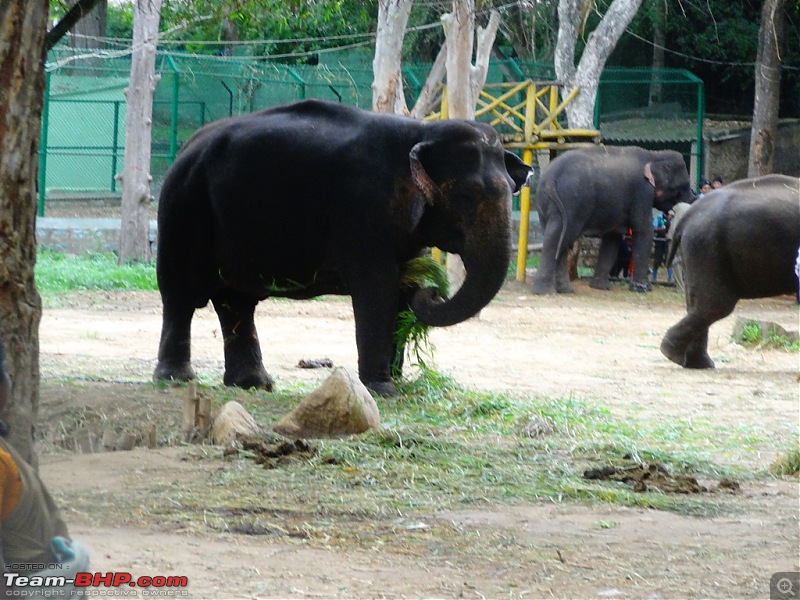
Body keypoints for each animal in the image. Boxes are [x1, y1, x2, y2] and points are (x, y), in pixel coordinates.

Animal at [155, 99, 532, 394]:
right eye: (467, 197)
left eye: (511, 189)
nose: (435, 291)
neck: (421, 131)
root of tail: (187, 147)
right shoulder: (364, 210)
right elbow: (378, 289)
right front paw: (382, 389)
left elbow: (403, 286)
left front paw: (396, 378)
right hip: (183, 207)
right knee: (180, 294)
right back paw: (177, 378)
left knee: (236, 301)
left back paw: (253, 385)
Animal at [532, 146, 692, 296]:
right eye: (683, 186)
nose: (692, 197)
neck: (654, 155)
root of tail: (551, 176)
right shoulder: (642, 191)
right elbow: (644, 230)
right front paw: (643, 289)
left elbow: (612, 238)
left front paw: (601, 287)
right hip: (572, 200)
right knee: (560, 237)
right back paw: (545, 291)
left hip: (545, 203)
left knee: (560, 238)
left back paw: (565, 290)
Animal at [664, 173, 800, 368]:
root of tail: (688, 215)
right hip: (708, 245)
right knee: (715, 305)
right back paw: (675, 354)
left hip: (699, 247)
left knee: (698, 304)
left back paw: (697, 363)